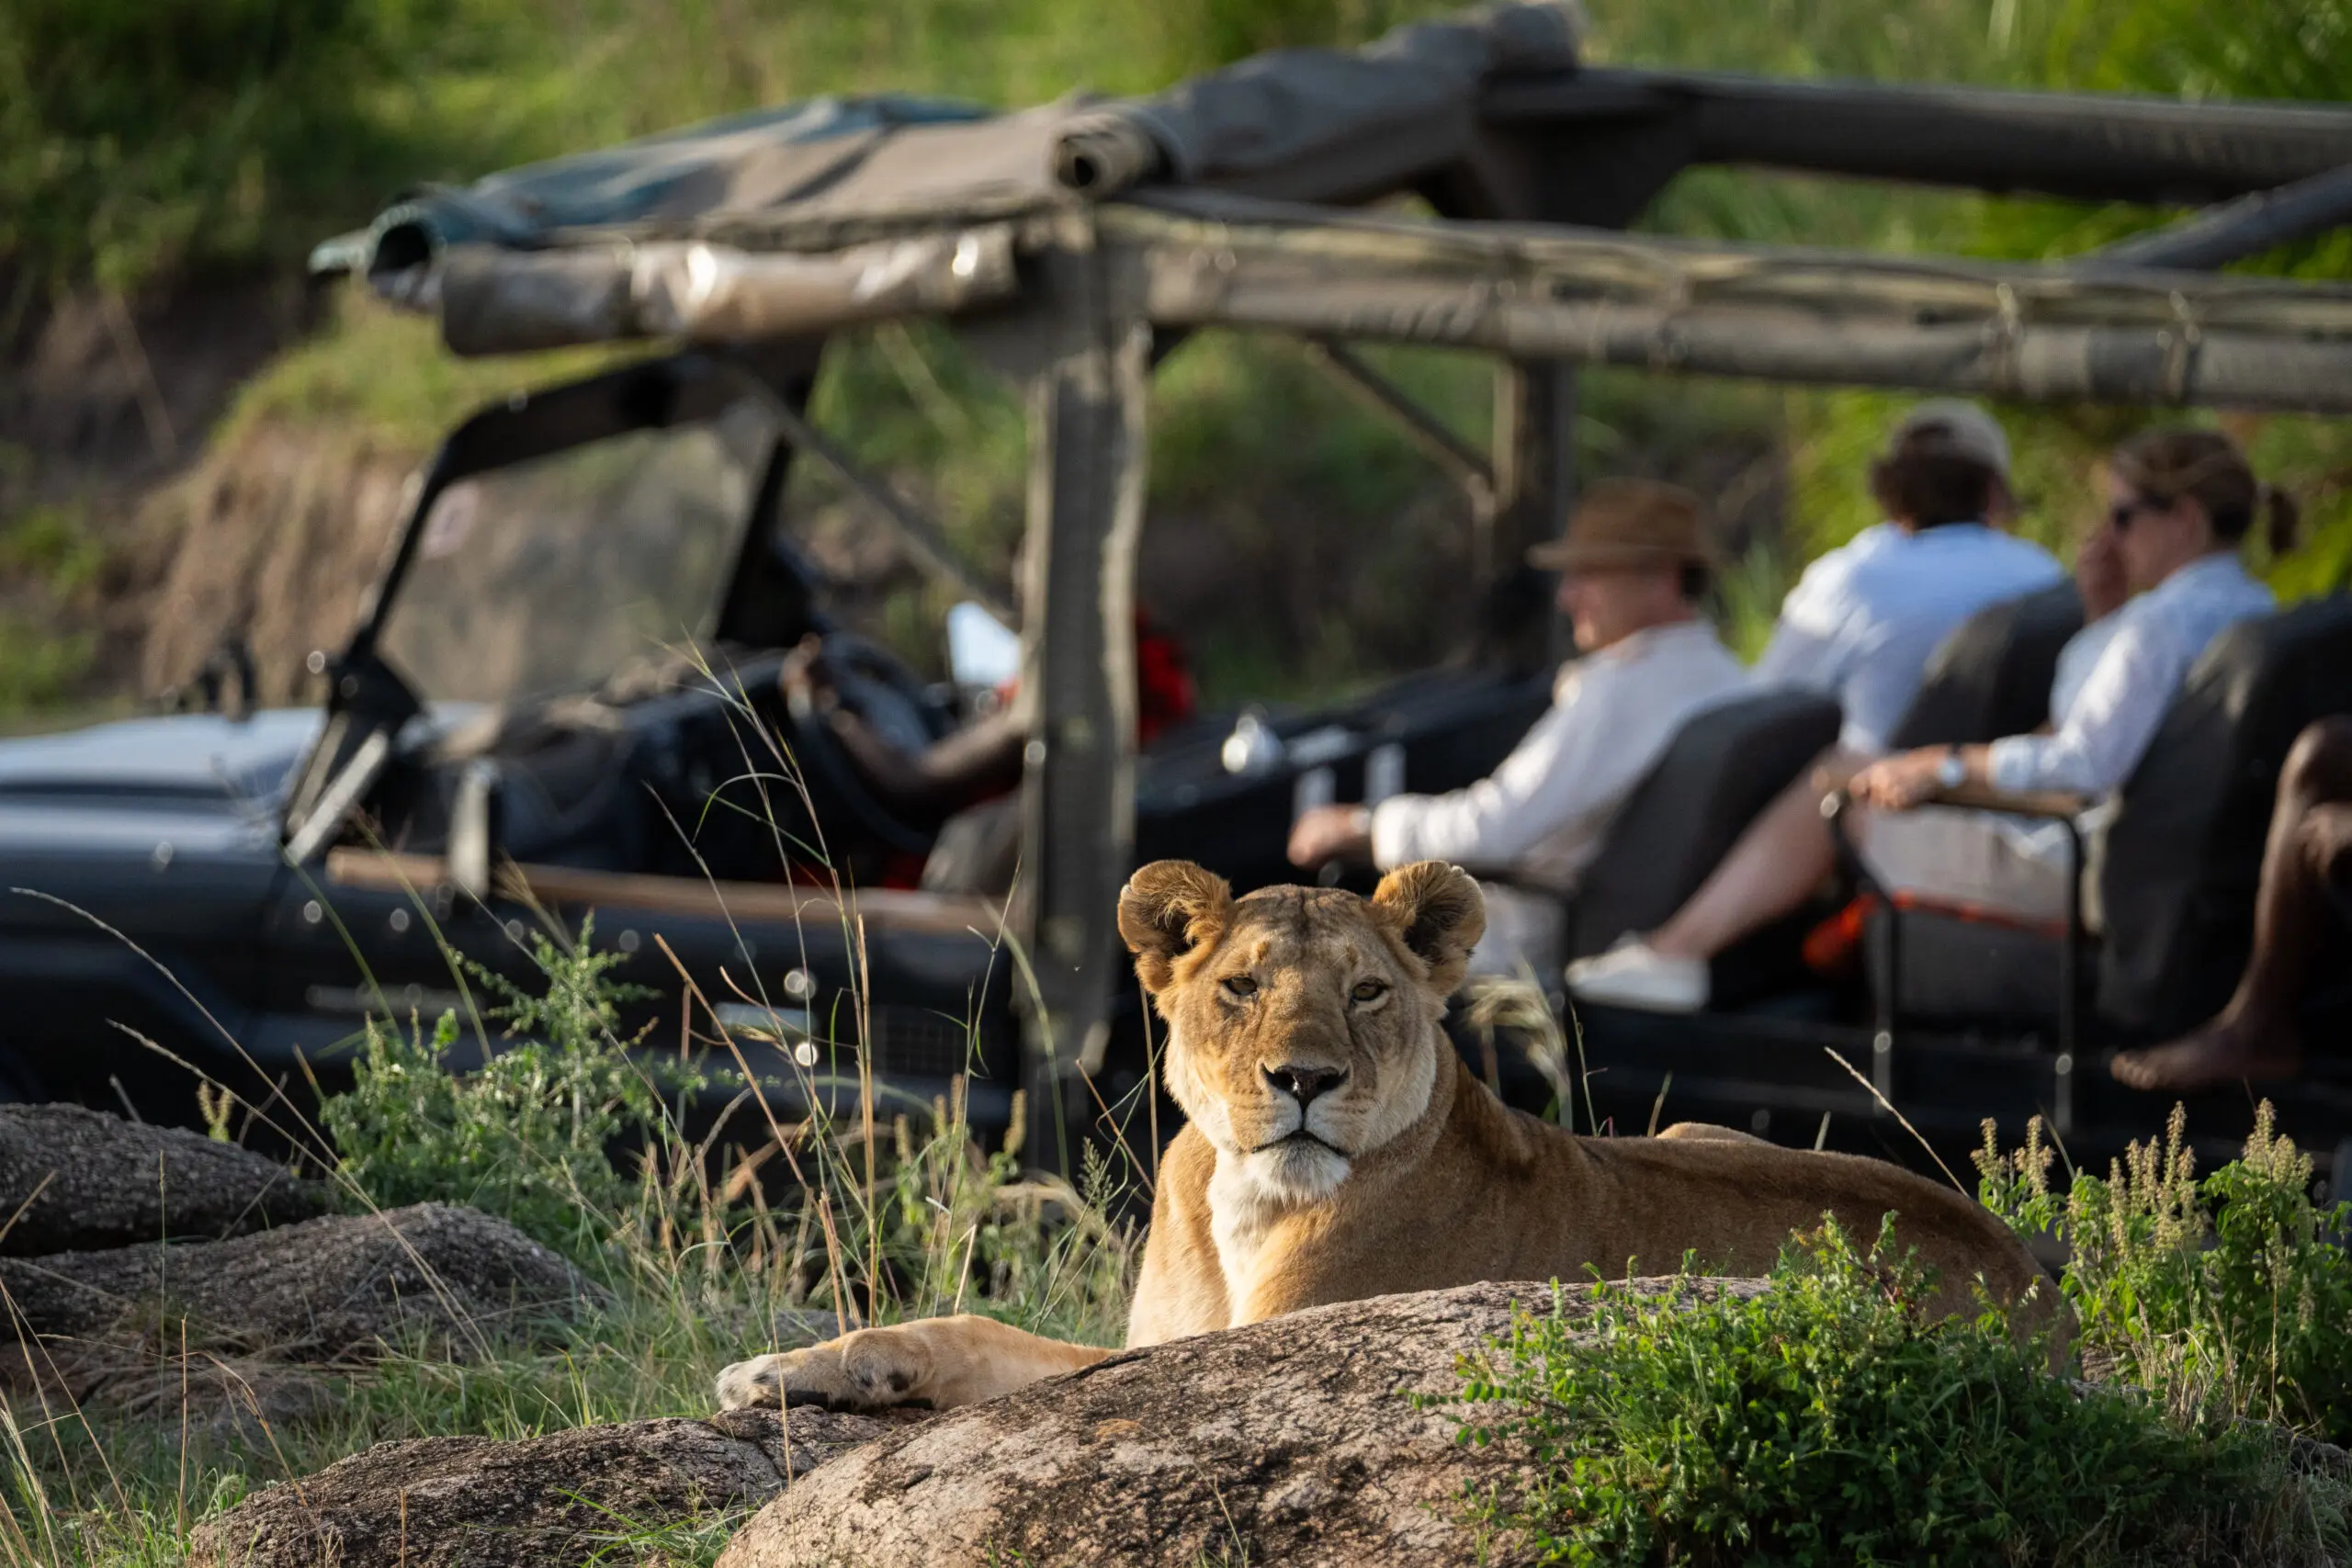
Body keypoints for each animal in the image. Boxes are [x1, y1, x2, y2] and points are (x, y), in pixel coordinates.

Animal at [716, 860, 2050, 1413]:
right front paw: (790, 1369)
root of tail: (2043, 1285)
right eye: (1243, 985)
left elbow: (1005, 1345)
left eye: (1364, 992)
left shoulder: (1246, 1353)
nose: (1303, 1078)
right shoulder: (1166, 1340)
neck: (1240, 1203)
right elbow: (977, 1334)